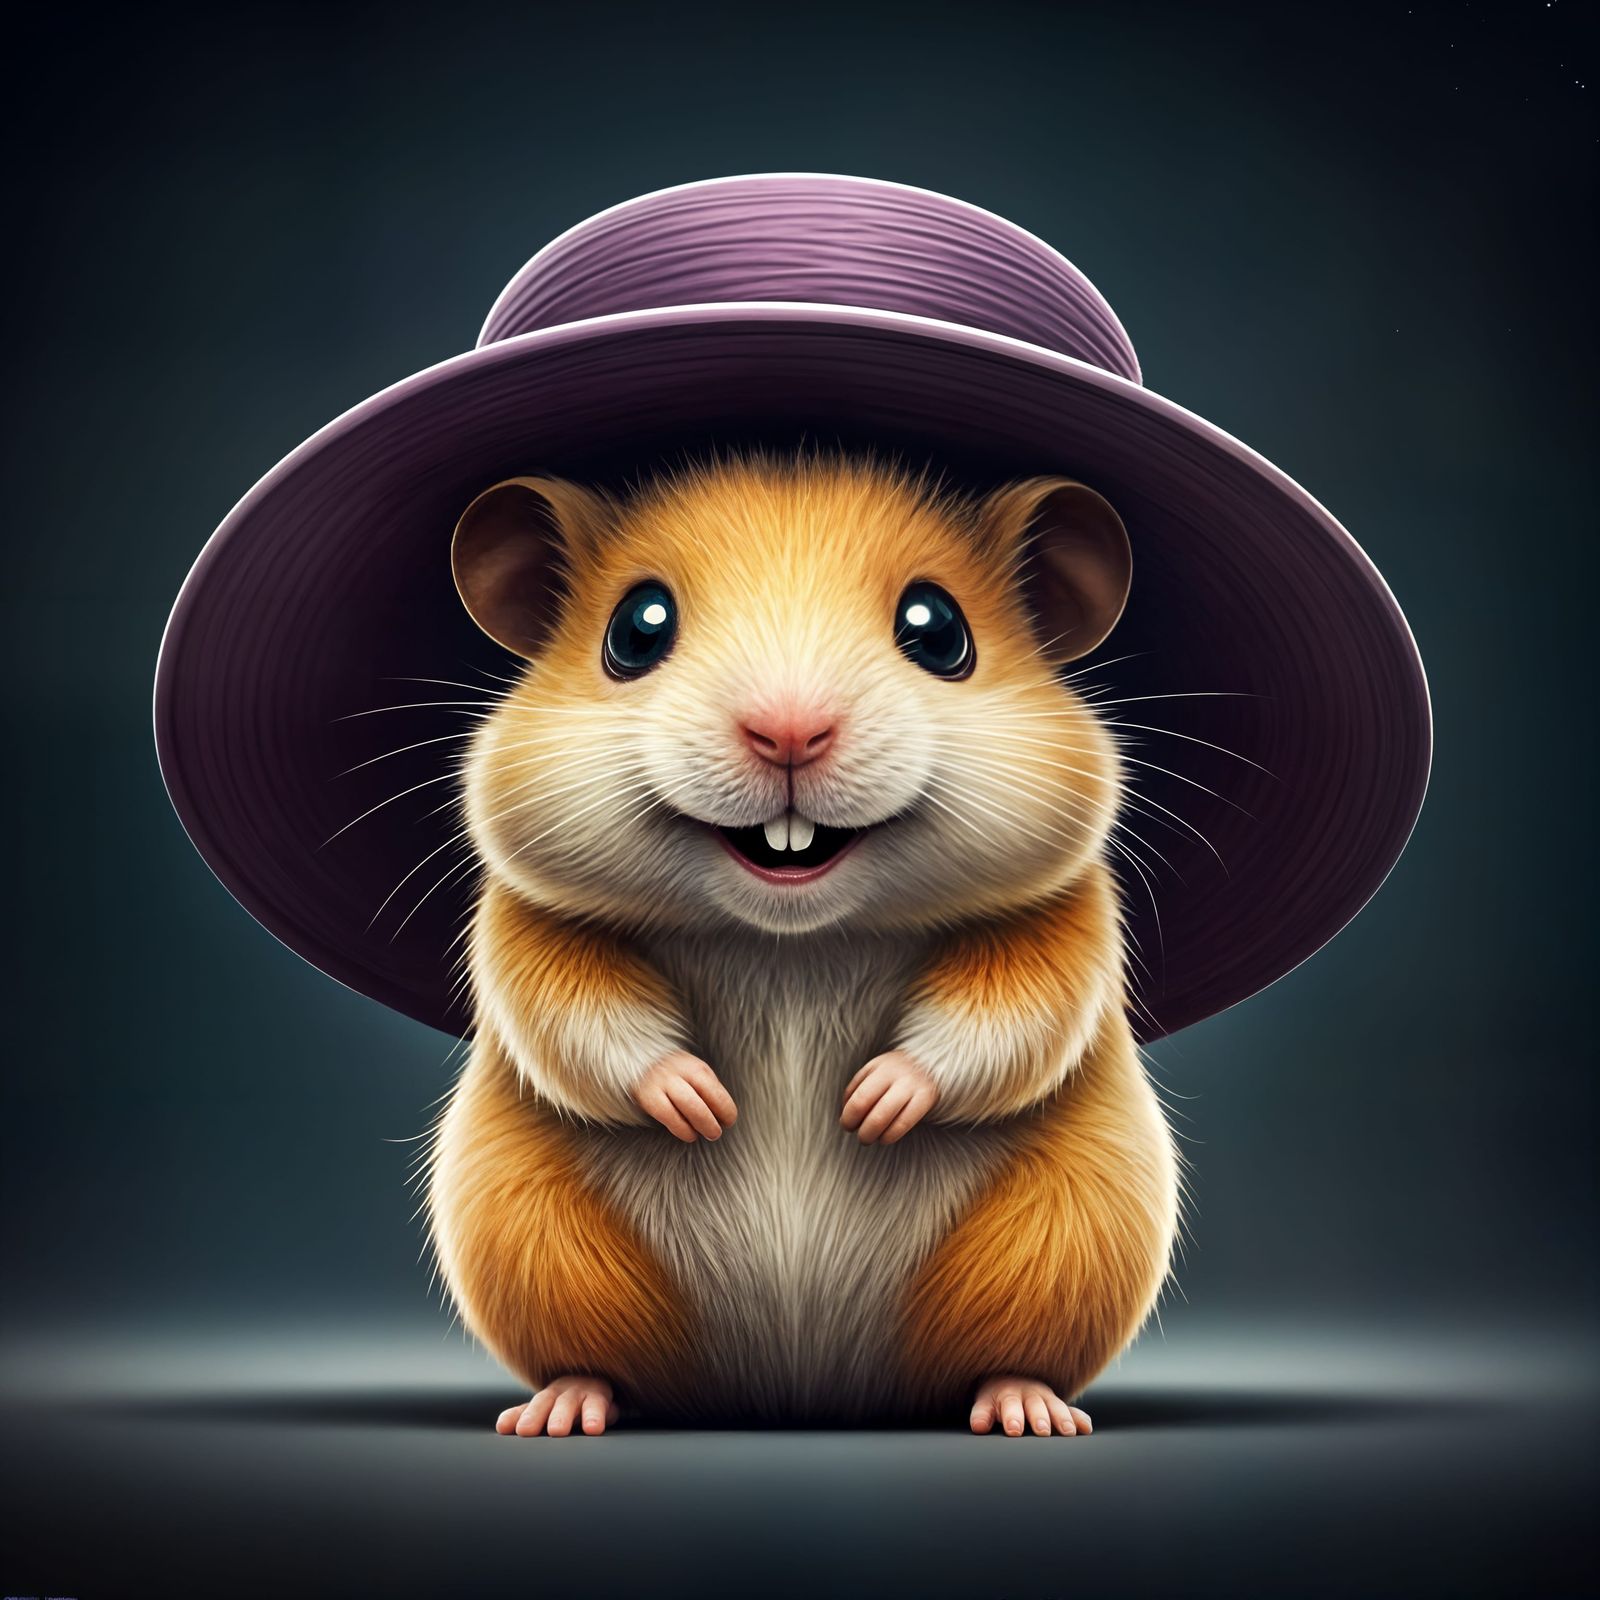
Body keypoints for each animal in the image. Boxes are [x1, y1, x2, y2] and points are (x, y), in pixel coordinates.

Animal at [425, 453, 1179, 1436]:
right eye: (636, 629)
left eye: (940, 631)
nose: (788, 731)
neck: (794, 940)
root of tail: (800, 1387)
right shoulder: (529, 920)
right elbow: (576, 1010)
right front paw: (704, 1107)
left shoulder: (1063, 914)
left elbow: (1009, 1011)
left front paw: (869, 1107)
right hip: (527, 1231)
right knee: (586, 1356)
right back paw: (559, 1410)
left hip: (1072, 1230)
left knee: (1017, 1352)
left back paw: (1026, 1409)